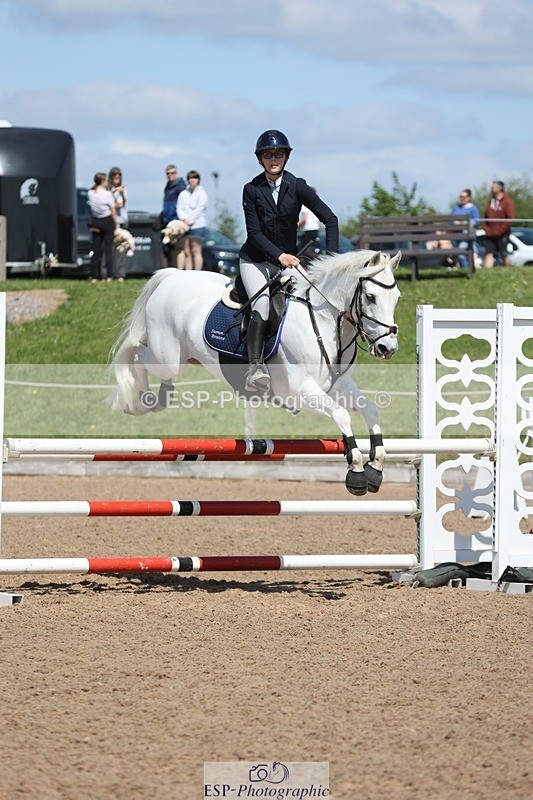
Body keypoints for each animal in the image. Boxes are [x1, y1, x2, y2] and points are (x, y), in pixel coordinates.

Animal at [106, 249, 401, 495]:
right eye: (371, 297)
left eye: (396, 298)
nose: (387, 348)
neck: (326, 323)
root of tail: (173, 275)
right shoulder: (299, 390)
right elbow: (341, 415)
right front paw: (357, 471)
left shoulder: (340, 387)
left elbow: (371, 410)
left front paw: (375, 468)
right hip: (167, 357)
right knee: (136, 353)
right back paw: (143, 402)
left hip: (185, 358)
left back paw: (161, 397)